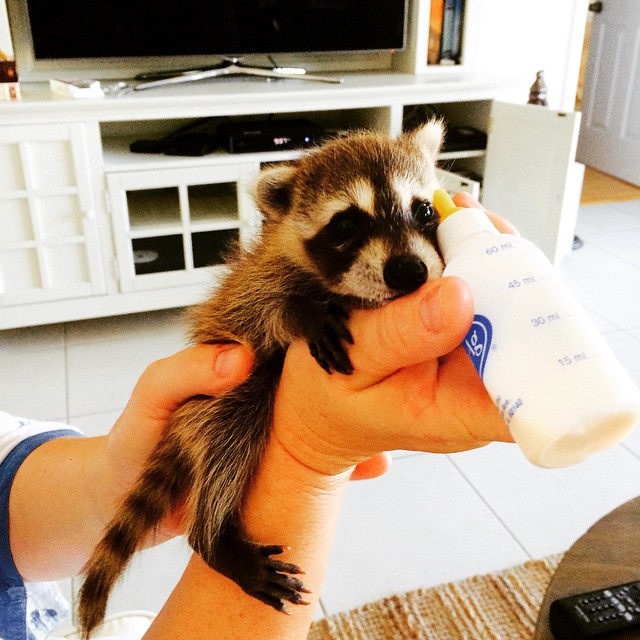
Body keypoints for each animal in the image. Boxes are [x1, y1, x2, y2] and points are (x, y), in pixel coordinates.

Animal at [79, 120, 444, 636]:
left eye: (424, 209)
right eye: (346, 225)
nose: (409, 271)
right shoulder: (256, 284)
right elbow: (259, 306)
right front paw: (299, 311)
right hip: (212, 401)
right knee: (230, 429)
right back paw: (212, 539)